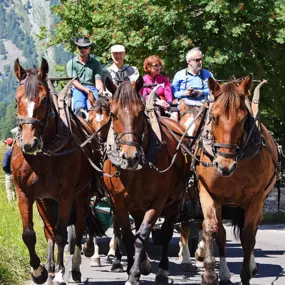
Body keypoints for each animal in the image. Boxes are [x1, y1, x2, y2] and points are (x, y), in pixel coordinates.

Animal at [11, 58, 94, 282]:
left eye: (43, 100)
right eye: (17, 100)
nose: (29, 143)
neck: (43, 156)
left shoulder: (66, 196)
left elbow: (61, 234)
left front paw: (59, 273)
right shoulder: (25, 194)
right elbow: (29, 234)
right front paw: (38, 271)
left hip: (81, 194)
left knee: (79, 226)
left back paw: (74, 267)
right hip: (45, 199)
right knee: (49, 229)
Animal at [89, 79, 191, 284]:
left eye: (141, 112)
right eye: (114, 113)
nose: (130, 157)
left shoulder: (157, 202)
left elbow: (141, 236)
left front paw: (135, 273)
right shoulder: (119, 202)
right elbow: (128, 236)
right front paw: (131, 268)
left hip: (175, 200)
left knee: (167, 231)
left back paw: (162, 271)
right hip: (136, 205)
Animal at [193, 75, 278, 284]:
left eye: (243, 118)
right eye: (214, 116)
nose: (225, 165)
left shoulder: (256, 199)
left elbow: (248, 237)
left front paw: (246, 274)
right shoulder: (208, 193)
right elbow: (211, 228)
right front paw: (209, 274)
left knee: (252, 231)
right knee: (222, 234)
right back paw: (223, 272)